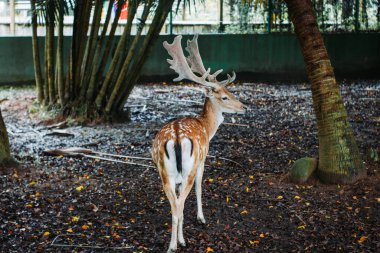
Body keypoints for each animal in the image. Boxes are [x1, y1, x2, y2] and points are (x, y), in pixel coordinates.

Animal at [151, 34, 246, 252]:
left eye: (230, 91)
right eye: (224, 96)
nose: (244, 107)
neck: (206, 127)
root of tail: (177, 137)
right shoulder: (203, 159)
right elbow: (199, 188)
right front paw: (201, 218)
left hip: (164, 172)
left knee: (174, 205)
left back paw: (172, 244)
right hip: (190, 167)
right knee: (180, 204)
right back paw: (179, 243)